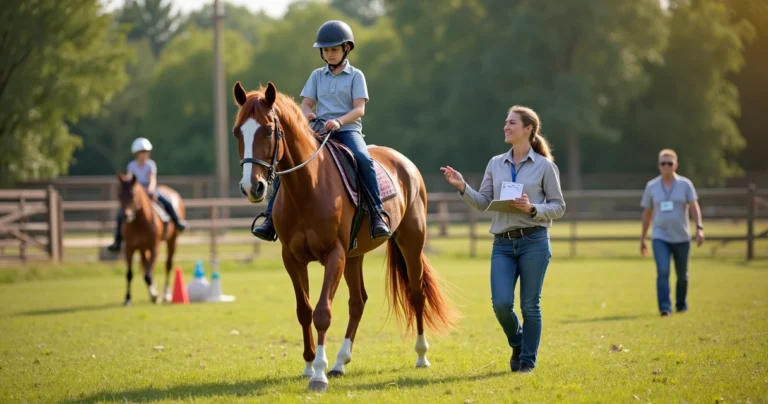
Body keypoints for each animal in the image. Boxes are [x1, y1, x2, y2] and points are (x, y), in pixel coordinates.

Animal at [116, 173, 186, 306]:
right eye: (119, 194)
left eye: (133, 194)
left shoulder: (155, 247)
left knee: (168, 265)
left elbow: (147, 275)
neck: (139, 223)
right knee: (146, 265)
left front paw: (155, 295)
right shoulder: (129, 248)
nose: (125, 215)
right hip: (143, 248)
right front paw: (127, 298)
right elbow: (130, 274)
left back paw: (166, 294)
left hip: (172, 241)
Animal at [232, 81, 458, 392]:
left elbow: (322, 312)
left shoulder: (334, 255)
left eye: (268, 130)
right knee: (358, 302)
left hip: (411, 243)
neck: (307, 187)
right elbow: (304, 310)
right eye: (237, 131)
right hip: (355, 255)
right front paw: (308, 365)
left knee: (416, 294)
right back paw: (340, 362)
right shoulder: (292, 258)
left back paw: (421, 356)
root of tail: (404, 163)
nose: (251, 187)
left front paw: (318, 374)